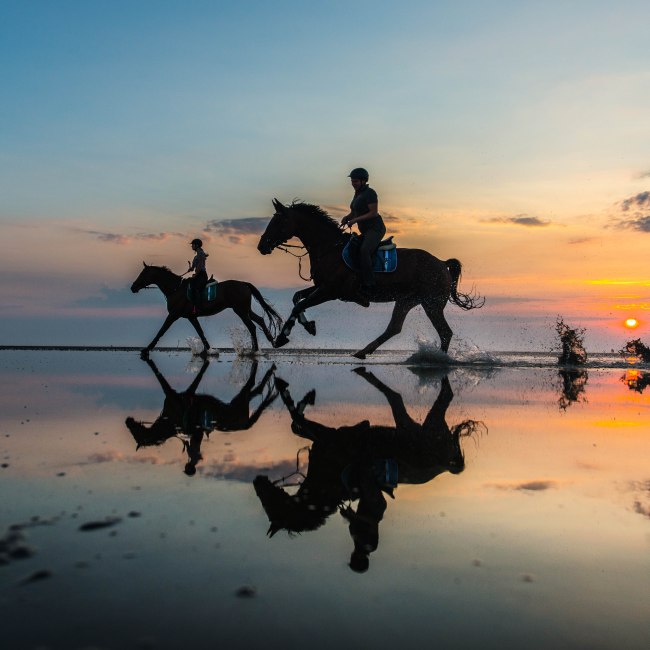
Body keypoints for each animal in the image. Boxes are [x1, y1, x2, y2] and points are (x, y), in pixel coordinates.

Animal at [125, 356, 278, 474]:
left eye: (135, 433)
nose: (127, 420)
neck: (170, 423)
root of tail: (245, 426)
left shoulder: (174, 395)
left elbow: (164, 381)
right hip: (241, 401)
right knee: (256, 390)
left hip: (241, 401)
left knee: (252, 384)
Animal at [131, 260, 280, 356]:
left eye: (142, 274)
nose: (133, 287)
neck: (175, 289)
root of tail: (244, 284)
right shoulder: (191, 317)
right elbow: (201, 332)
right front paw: (209, 350)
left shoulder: (173, 315)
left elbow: (161, 331)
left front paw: (147, 349)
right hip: (245, 309)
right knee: (260, 319)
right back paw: (270, 342)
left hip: (240, 310)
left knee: (252, 326)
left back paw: (254, 351)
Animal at [253, 368, 480, 568]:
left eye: (271, 506)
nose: (257, 481)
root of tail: (447, 464)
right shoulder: (325, 439)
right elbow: (297, 424)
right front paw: (297, 395)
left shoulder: (330, 438)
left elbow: (296, 420)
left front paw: (293, 392)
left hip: (421, 428)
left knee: (413, 397)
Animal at [256, 199, 480, 356]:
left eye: (278, 221)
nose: (262, 246)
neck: (329, 248)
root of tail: (442, 263)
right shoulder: (321, 287)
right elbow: (296, 298)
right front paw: (304, 327)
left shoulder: (330, 291)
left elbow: (299, 305)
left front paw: (283, 336)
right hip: (409, 300)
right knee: (396, 328)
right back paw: (363, 352)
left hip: (431, 303)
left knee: (444, 332)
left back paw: (439, 360)